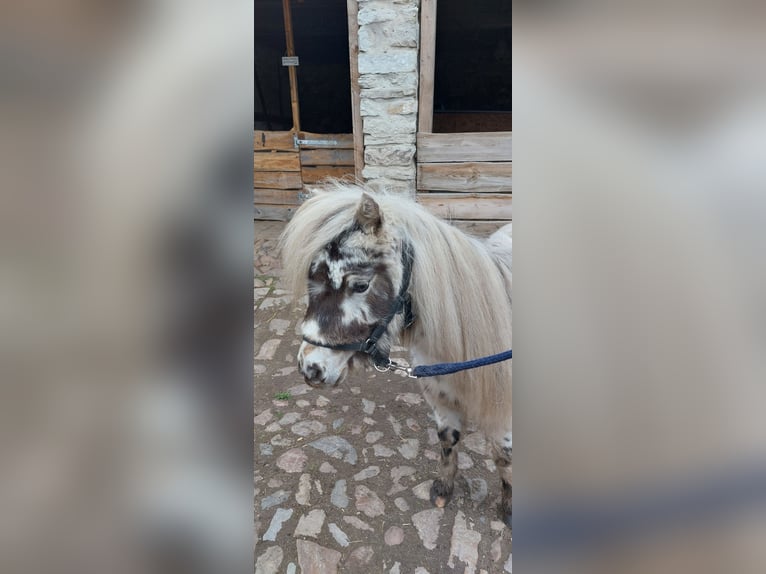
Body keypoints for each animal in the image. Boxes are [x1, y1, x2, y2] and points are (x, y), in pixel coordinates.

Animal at [280, 184, 512, 525]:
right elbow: (448, 442)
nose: (310, 369)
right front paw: (443, 490)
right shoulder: (441, 400)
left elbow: (504, 459)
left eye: (360, 285)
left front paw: (508, 510)